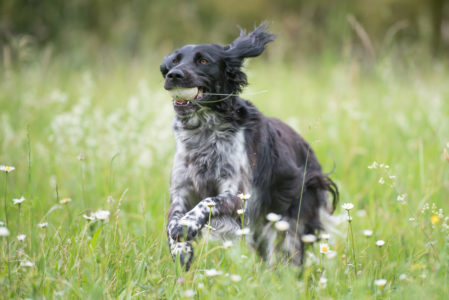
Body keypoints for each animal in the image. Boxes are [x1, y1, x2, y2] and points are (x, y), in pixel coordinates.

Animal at [159, 24, 338, 270]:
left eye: (203, 61)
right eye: (175, 61)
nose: (173, 75)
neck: (205, 132)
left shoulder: (238, 195)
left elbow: (207, 202)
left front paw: (186, 226)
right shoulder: (181, 190)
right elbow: (173, 218)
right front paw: (181, 248)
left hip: (291, 223)